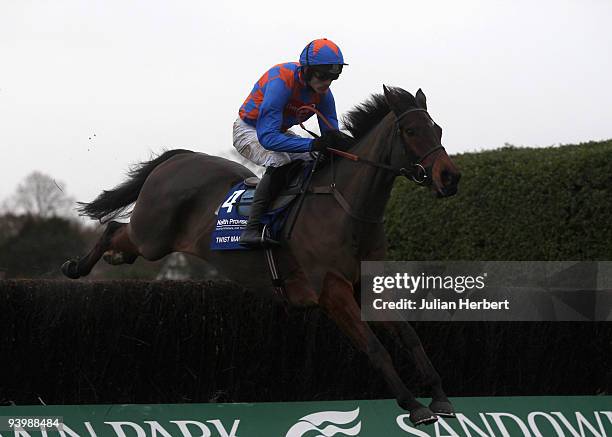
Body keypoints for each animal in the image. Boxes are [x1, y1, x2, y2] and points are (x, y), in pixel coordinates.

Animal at [64, 86, 462, 426]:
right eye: (411, 131)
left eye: (438, 129)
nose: (450, 177)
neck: (346, 206)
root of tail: (179, 158)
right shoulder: (332, 291)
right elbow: (375, 348)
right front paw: (414, 406)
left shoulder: (367, 284)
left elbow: (409, 335)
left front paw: (440, 397)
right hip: (152, 236)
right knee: (114, 228)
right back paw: (75, 266)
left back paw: (112, 259)